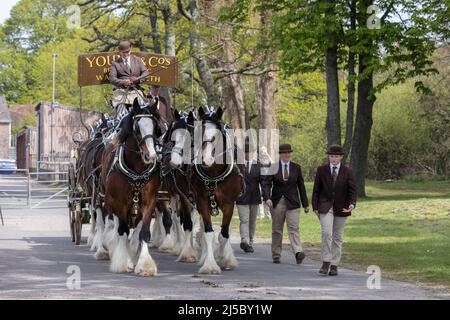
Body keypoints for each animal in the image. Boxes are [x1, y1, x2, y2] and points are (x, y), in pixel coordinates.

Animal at [100, 98, 162, 276]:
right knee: (118, 228)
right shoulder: (119, 203)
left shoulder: (149, 201)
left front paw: (145, 265)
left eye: (155, 126)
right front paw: (122, 261)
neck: (137, 170)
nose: (151, 155)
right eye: (137, 127)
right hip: (110, 202)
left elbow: (144, 233)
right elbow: (122, 230)